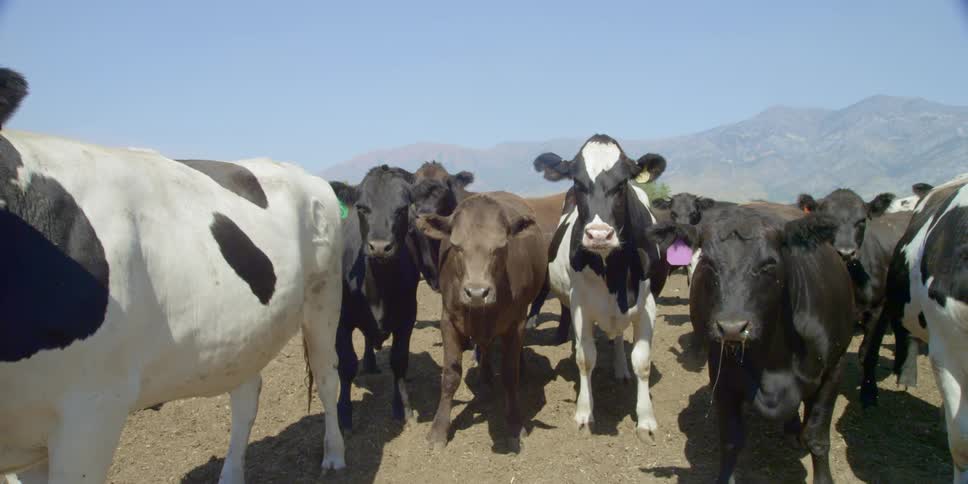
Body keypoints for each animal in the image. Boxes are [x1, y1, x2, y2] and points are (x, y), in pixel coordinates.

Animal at [0, 69, 346, 483]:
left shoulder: (93, 407)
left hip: (324, 297)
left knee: (328, 378)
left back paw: (334, 455)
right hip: (246, 333)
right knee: (246, 394)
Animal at [330, 165, 427, 432]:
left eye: (402, 208)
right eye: (362, 207)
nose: (380, 247)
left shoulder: (407, 317)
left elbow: (399, 361)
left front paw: (402, 407)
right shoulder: (341, 321)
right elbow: (347, 365)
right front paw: (344, 414)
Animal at [416, 192, 547, 452]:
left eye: (501, 247)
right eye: (457, 247)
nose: (477, 293)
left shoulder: (516, 323)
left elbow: (509, 374)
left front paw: (514, 425)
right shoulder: (448, 321)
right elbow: (450, 376)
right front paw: (438, 430)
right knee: (485, 346)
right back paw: (485, 379)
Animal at [532, 134, 669, 441]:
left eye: (622, 183)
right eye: (578, 182)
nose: (598, 235)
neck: (613, 271)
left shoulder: (648, 305)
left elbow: (642, 361)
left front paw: (646, 420)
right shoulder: (580, 304)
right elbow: (586, 358)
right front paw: (584, 414)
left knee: (618, 337)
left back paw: (620, 369)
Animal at [684, 205, 854, 484]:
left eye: (768, 264)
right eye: (708, 263)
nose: (732, 327)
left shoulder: (835, 369)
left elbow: (817, 438)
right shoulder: (723, 376)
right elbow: (730, 441)